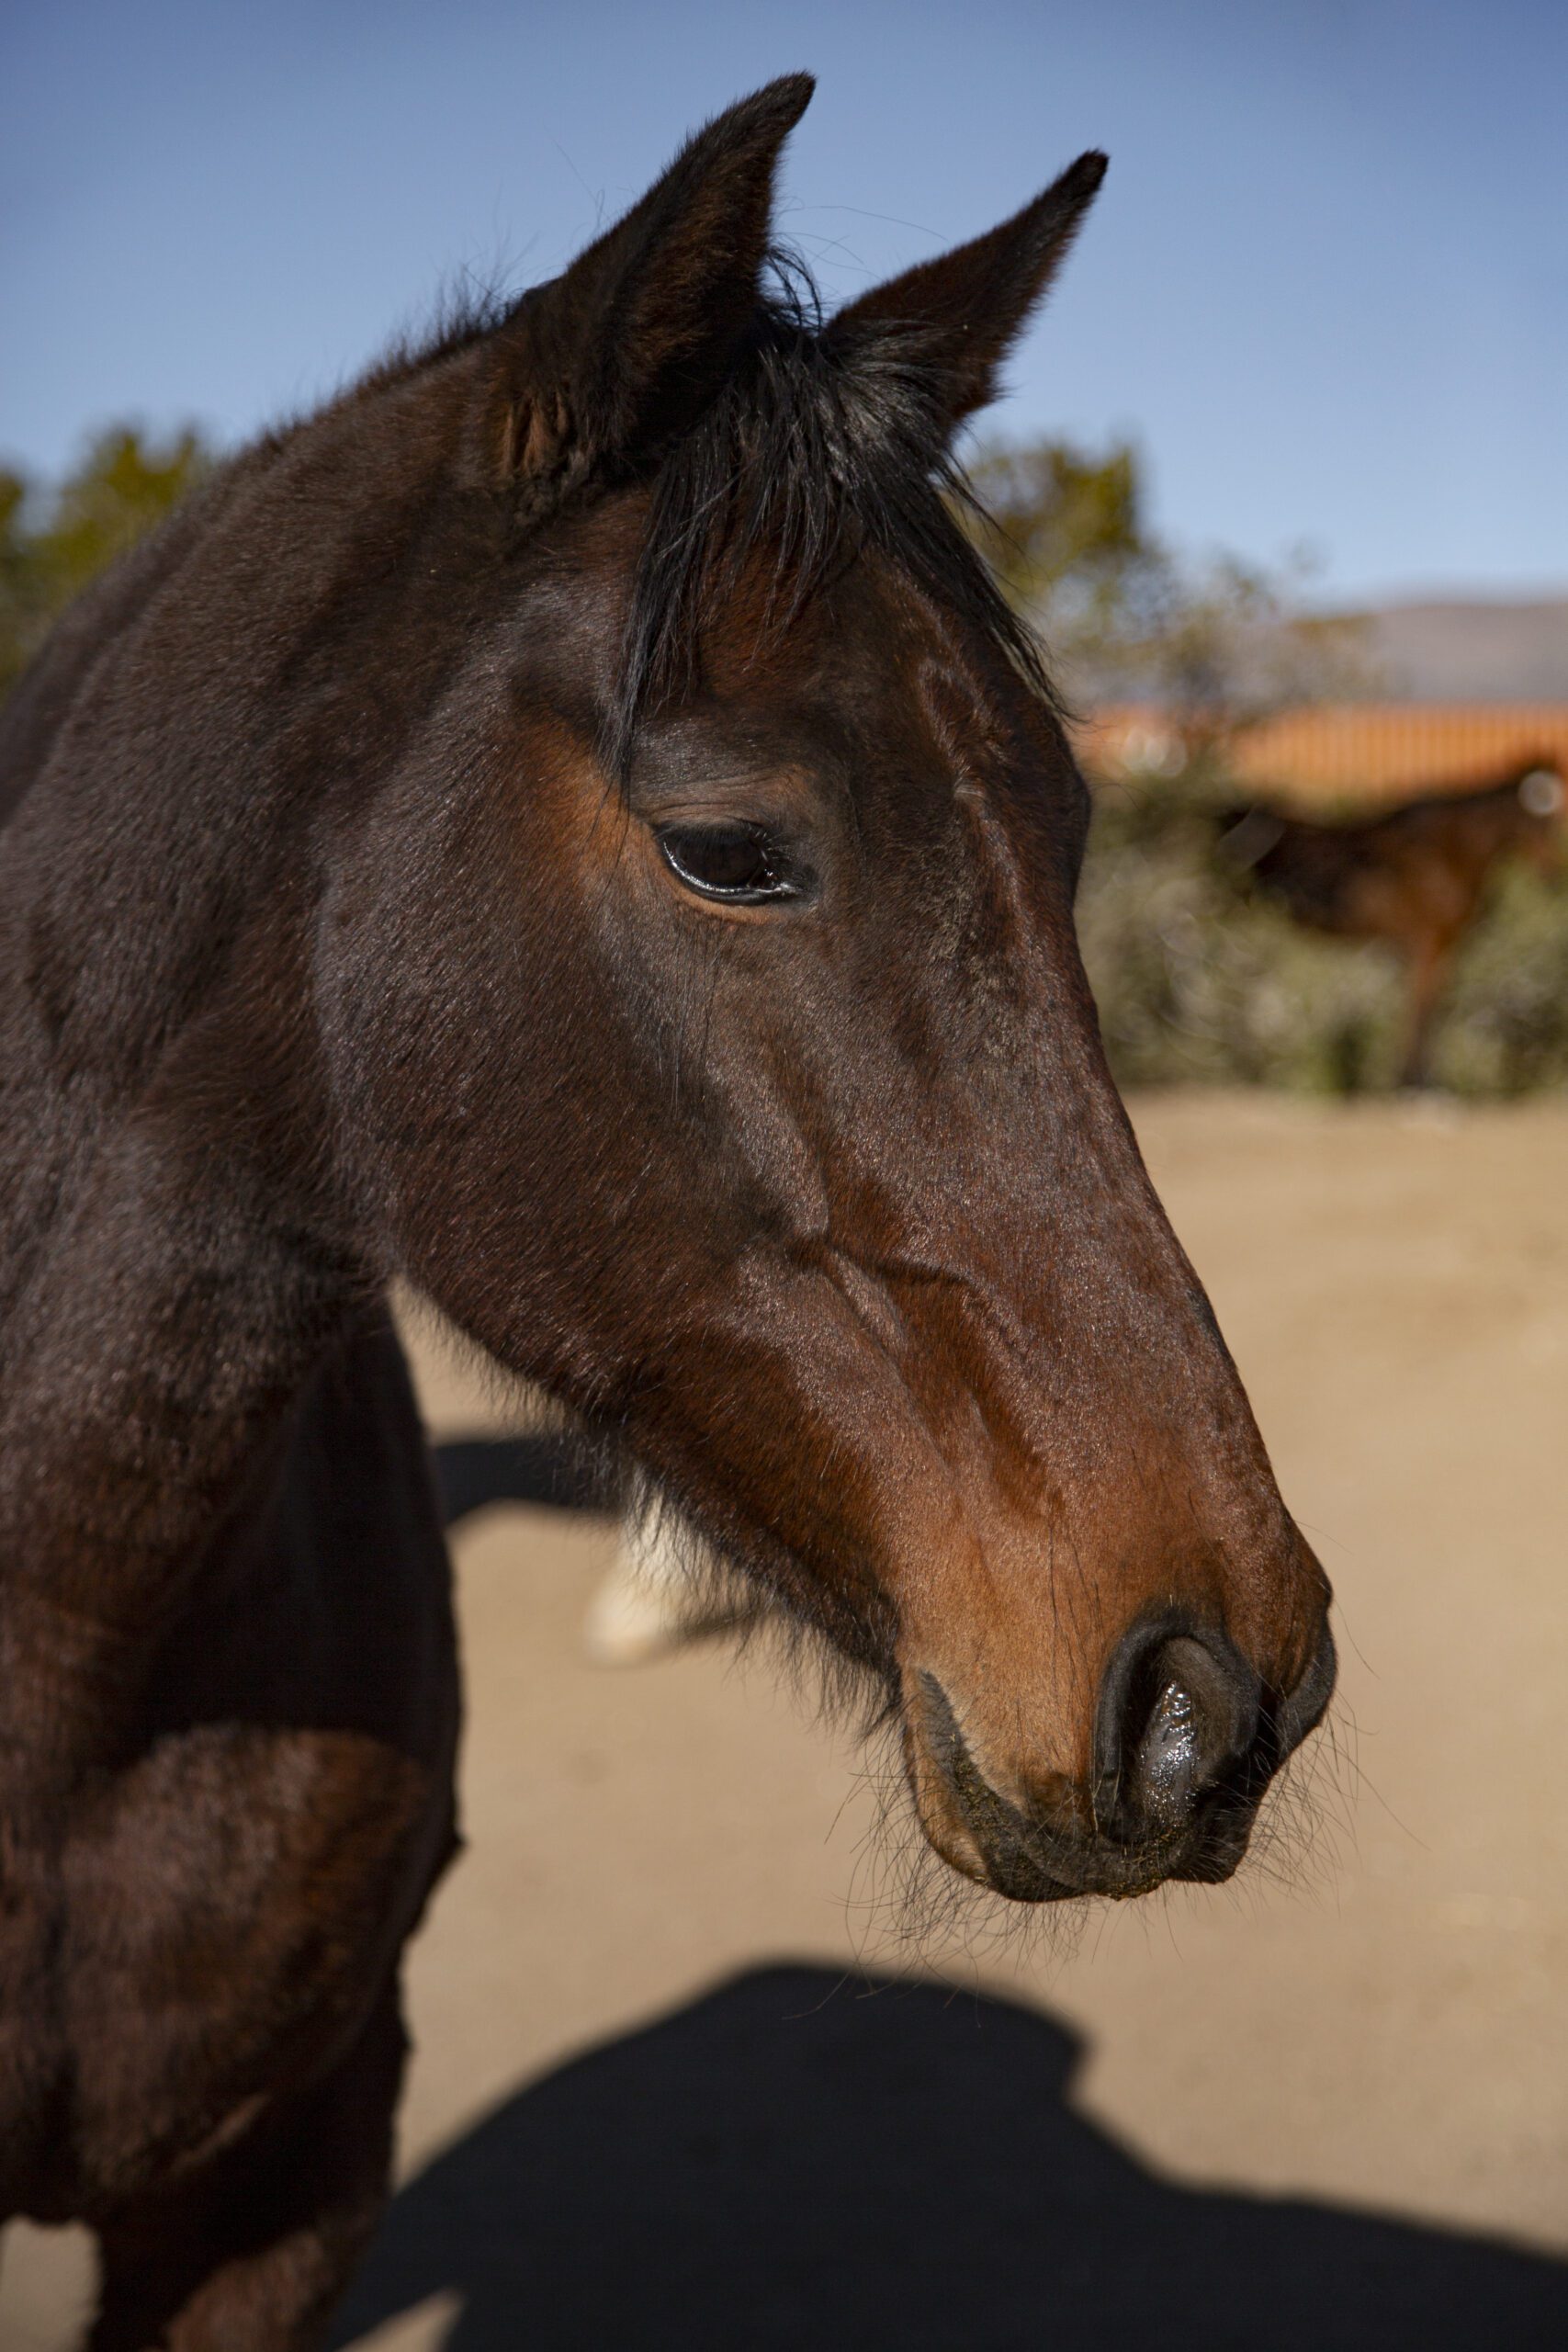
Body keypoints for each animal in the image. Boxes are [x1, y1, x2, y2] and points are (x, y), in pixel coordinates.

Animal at [1222, 757, 1561, 1086]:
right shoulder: (1431, 940)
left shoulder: (1435, 945)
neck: (1452, 848)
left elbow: (1426, 1007)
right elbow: (1422, 1007)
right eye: (1549, 822)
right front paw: (1414, 1079)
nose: (1553, 878)